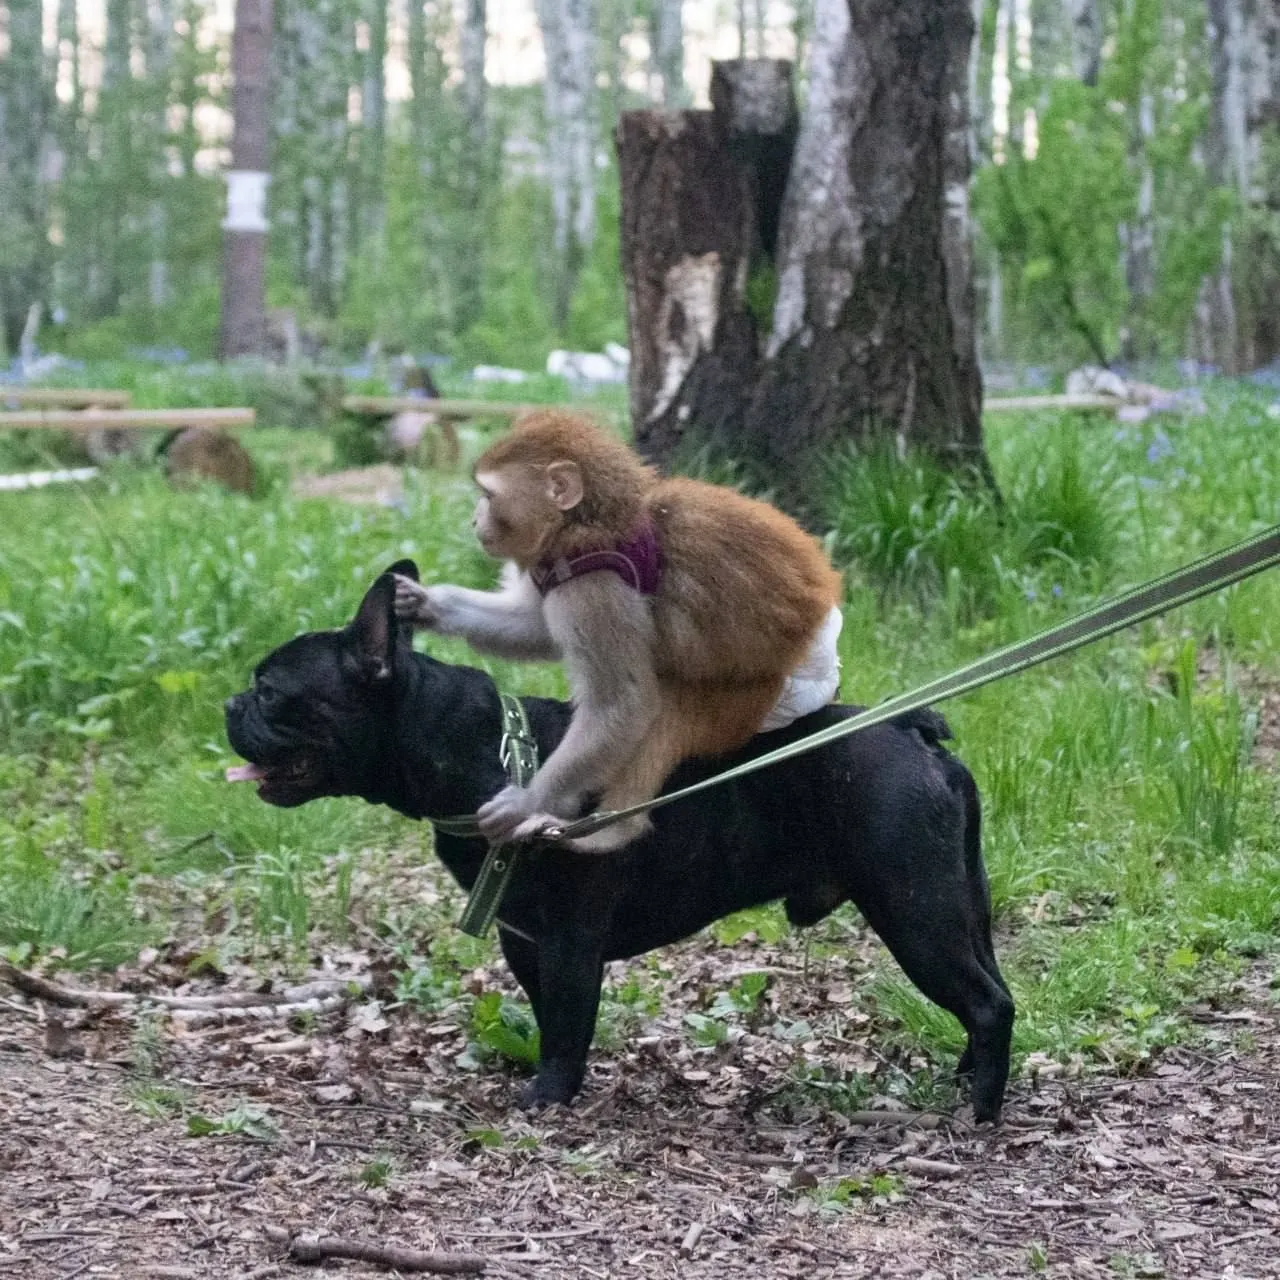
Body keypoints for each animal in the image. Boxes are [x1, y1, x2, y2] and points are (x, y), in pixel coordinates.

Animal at [393, 411, 843, 852]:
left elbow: (622, 702)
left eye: (488, 495)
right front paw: (429, 605)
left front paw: (526, 803)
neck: (585, 522)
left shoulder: (595, 589)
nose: (474, 520)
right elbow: (535, 629)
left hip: (754, 698)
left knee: (666, 708)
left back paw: (610, 831)